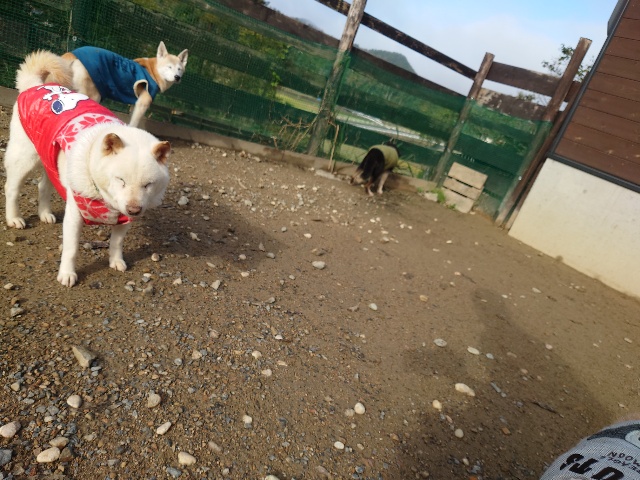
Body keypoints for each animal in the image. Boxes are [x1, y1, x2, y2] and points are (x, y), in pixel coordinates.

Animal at [4, 50, 171, 287]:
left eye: (148, 185)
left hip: (51, 162)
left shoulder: (123, 219)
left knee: (43, 186)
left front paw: (116, 261)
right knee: (12, 189)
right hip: (25, 158)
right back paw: (14, 218)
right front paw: (67, 274)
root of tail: (34, 85)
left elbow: (117, 243)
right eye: (120, 180)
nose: (134, 210)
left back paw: (45, 213)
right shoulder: (75, 214)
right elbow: (71, 249)